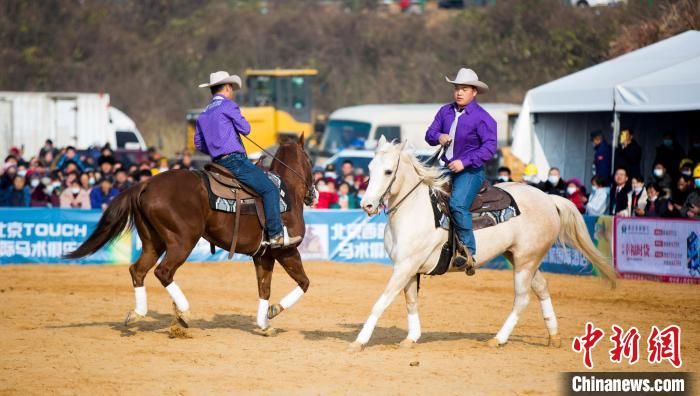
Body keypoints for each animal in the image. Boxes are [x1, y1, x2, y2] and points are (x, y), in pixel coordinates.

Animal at [65, 136, 314, 334]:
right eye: (310, 160)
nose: (313, 194)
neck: (287, 193)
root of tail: (145, 185)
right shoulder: (286, 250)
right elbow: (304, 282)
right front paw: (273, 311)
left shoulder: (263, 255)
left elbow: (264, 288)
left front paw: (264, 324)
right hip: (182, 242)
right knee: (163, 272)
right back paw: (183, 313)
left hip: (153, 242)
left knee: (138, 271)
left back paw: (138, 313)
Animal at [348, 138, 612, 352]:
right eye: (370, 168)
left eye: (388, 171)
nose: (367, 205)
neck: (414, 208)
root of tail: (548, 198)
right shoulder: (409, 269)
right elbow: (411, 301)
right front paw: (411, 338)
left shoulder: (404, 267)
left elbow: (380, 303)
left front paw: (359, 341)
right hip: (521, 258)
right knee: (542, 288)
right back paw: (554, 336)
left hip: (525, 261)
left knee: (522, 299)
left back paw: (498, 339)